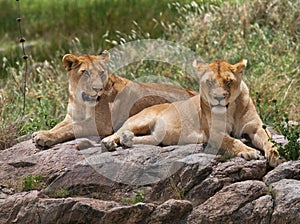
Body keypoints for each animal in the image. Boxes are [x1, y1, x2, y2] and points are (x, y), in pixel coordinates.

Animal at [32, 50, 197, 147]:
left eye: (101, 72)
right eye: (85, 73)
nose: (97, 88)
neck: (80, 100)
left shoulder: (100, 124)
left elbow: (68, 129)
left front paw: (44, 136)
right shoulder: (70, 116)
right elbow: (59, 126)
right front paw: (42, 132)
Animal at [101, 58, 282, 167]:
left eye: (228, 81)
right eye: (209, 82)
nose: (218, 97)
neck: (231, 109)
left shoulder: (256, 127)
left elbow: (269, 139)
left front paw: (275, 154)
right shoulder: (214, 133)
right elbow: (234, 142)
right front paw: (250, 152)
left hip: (157, 135)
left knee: (142, 139)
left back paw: (127, 138)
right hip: (140, 119)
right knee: (118, 131)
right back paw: (109, 142)